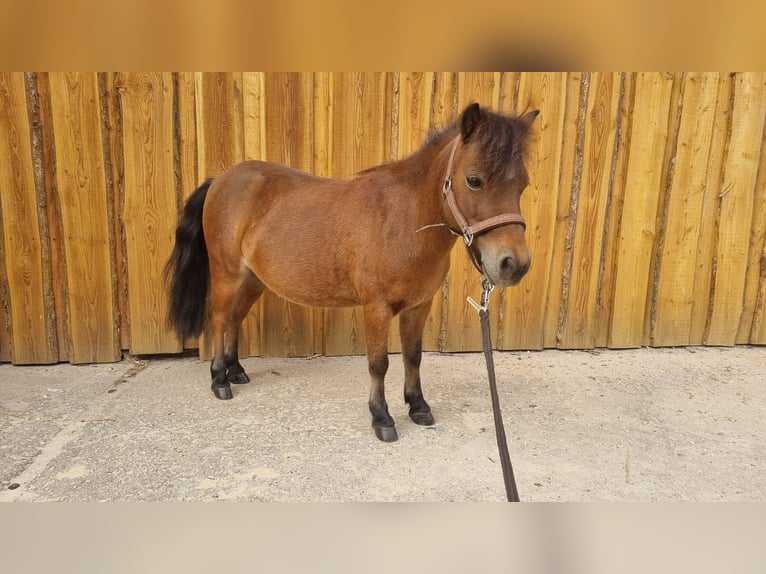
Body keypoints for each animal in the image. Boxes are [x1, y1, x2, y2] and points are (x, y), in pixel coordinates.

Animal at [166, 103, 540, 444]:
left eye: (523, 184)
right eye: (474, 180)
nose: (514, 264)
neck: (403, 221)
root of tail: (222, 179)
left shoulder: (419, 306)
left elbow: (413, 356)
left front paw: (418, 407)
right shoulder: (376, 308)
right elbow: (379, 364)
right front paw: (382, 418)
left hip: (253, 280)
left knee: (234, 319)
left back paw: (237, 371)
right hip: (227, 274)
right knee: (218, 319)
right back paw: (219, 379)